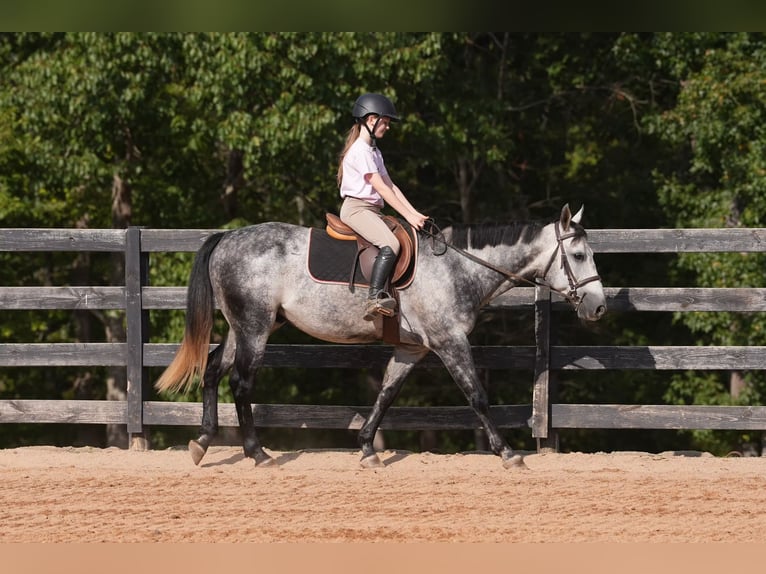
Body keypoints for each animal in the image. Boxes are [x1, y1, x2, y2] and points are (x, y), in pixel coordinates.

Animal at [155, 204, 606, 469]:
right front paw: (509, 453)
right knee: (241, 381)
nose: (599, 308)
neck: (458, 268)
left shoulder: (411, 349)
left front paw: (368, 448)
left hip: (241, 327)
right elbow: (476, 395)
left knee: (213, 371)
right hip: (254, 326)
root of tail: (226, 237)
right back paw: (257, 452)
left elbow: (386, 394)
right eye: (579, 255)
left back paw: (203, 442)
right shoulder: (448, 342)